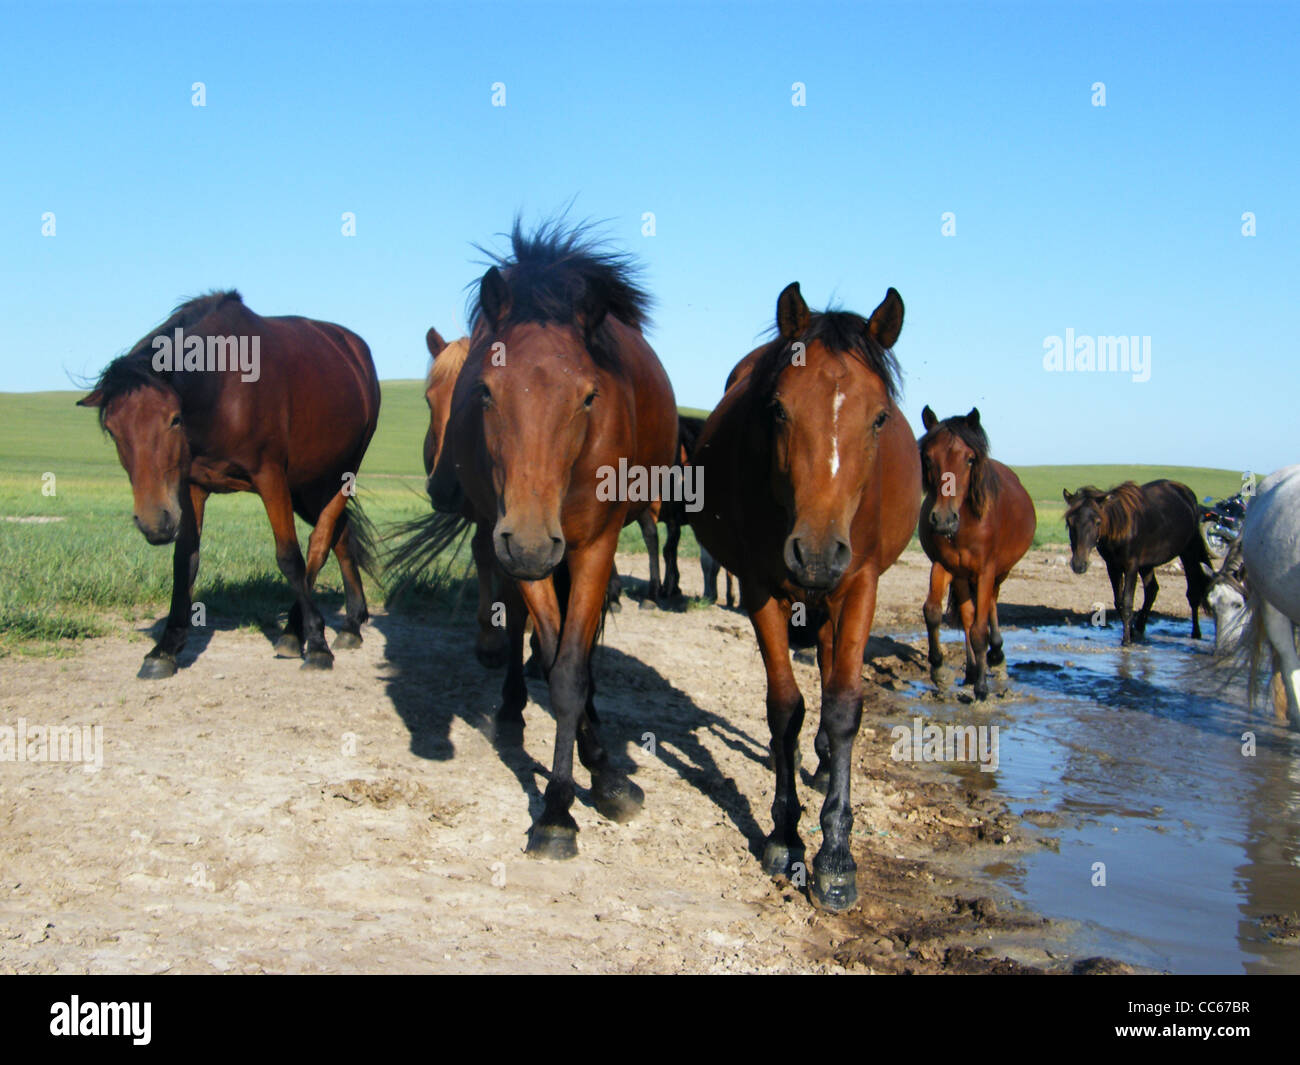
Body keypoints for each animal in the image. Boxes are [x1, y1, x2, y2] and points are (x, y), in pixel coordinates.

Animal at [79, 291, 379, 678]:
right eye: (113, 430)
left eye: (174, 420)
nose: (155, 523)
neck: (223, 390)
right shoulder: (190, 487)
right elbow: (185, 561)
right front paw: (165, 648)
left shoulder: (271, 478)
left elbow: (289, 558)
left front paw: (317, 643)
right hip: (311, 483)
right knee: (340, 535)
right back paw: (349, 623)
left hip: (341, 473)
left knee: (320, 541)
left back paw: (298, 631)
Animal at [421, 220, 678, 857]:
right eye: (485, 391)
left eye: (588, 396)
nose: (534, 542)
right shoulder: (519, 547)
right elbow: (554, 658)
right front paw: (562, 806)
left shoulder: (592, 548)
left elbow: (571, 672)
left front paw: (598, 784)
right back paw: (518, 708)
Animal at [692, 282, 920, 910]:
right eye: (778, 409)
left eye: (880, 417)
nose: (817, 553)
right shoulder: (760, 587)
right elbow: (784, 709)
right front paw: (785, 835)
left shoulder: (860, 583)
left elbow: (842, 707)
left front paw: (837, 857)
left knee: (828, 667)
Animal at [918, 406, 1036, 700]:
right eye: (928, 458)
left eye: (970, 459)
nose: (943, 520)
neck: (965, 525)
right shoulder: (943, 565)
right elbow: (933, 612)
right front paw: (939, 669)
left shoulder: (986, 571)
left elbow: (980, 629)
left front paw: (982, 688)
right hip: (962, 577)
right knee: (968, 615)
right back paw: (972, 670)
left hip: (999, 572)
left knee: (991, 603)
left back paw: (996, 656)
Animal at [1063, 480, 1211, 645]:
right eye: (1069, 521)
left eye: (1098, 522)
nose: (1079, 564)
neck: (1120, 527)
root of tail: (1185, 492)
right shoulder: (1112, 566)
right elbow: (1119, 602)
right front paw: (1131, 632)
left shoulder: (1131, 566)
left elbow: (1127, 603)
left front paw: (1126, 641)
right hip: (1147, 564)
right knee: (1152, 590)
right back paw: (1140, 627)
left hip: (1189, 552)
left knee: (1193, 592)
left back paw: (1196, 633)